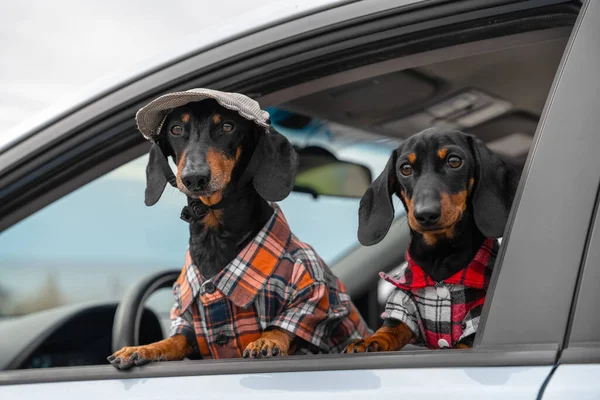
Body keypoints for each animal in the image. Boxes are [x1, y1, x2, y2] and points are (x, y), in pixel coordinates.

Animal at [109, 93, 370, 368]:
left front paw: (266, 341)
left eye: (227, 126)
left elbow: (285, 326)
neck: (215, 235)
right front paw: (143, 348)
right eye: (176, 129)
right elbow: (176, 339)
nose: (194, 178)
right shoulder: (188, 318)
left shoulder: (310, 293)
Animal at [344, 128, 516, 354]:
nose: (425, 214)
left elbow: (466, 339)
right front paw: (371, 340)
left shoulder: (477, 310)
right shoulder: (404, 302)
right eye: (405, 168)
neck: (440, 256)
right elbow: (392, 327)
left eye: (454, 161)